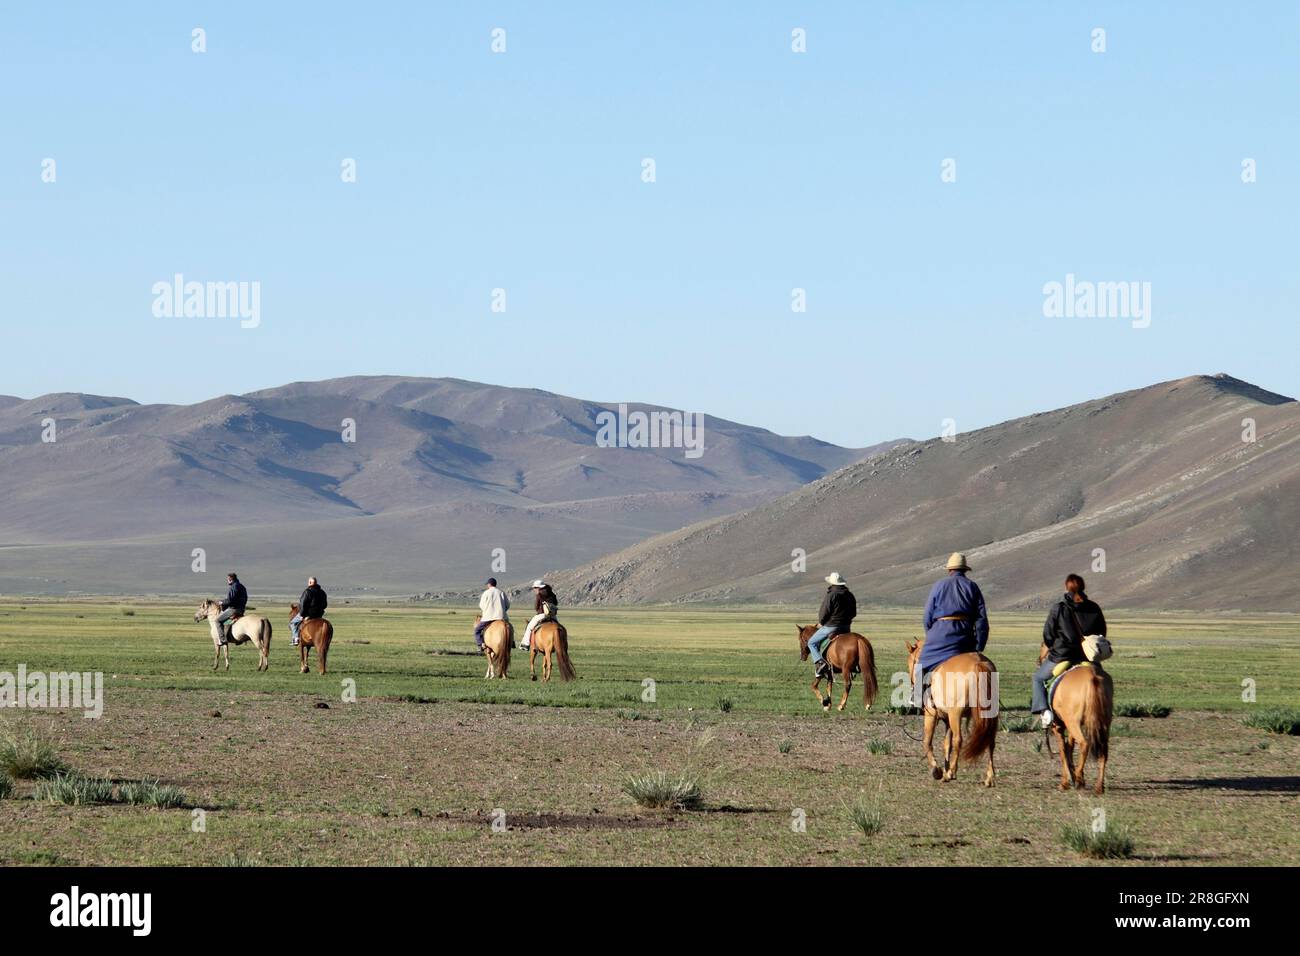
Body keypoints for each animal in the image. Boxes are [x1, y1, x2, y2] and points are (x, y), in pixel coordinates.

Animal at [909, 639, 998, 790]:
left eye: (911, 662)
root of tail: (978, 662)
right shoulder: (947, 720)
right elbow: (947, 745)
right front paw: (945, 770)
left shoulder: (931, 715)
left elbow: (928, 742)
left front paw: (938, 770)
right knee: (990, 741)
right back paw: (989, 778)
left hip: (955, 715)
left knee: (958, 740)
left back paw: (951, 772)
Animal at [1040, 647, 1112, 796]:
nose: (1039, 659)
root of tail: (1092, 677)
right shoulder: (1069, 726)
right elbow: (1070, 747)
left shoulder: (1059, 726)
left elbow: (1063, 750)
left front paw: (1065, 783)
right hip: (1104, 723)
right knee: (1104, 750)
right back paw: (1098, 787)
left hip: (1073, 723)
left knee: (1084, 744)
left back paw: (1079, 780)